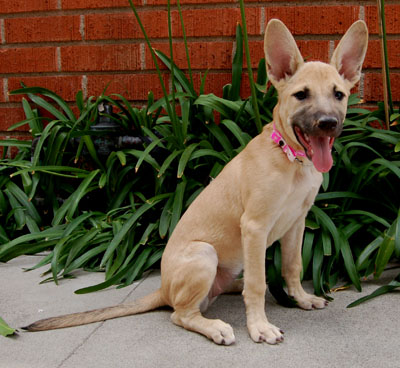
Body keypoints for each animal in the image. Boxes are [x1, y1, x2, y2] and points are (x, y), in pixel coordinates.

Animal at [23, 18, 368, 344]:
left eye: (339, 95)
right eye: (301, 95)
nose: (328, 123)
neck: (290, 158)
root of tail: (163, 288)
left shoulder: (297, 222)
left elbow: (293, 267)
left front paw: (301, 298)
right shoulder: (255, 226)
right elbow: (257, 284)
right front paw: (259, 326)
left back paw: (239, 286)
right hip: (204, 255)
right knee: (182, 314)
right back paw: (216, 326)